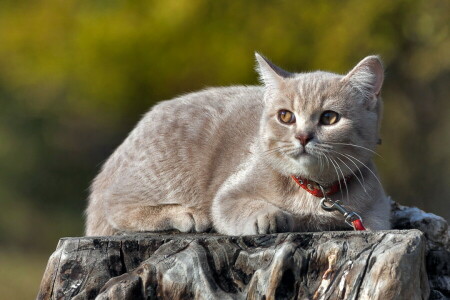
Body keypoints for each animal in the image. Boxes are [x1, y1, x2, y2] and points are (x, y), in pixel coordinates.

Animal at [84, 54, 390, 237]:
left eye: (329, 118)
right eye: (286, 116)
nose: (303, 136)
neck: (315, 192)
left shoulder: (375, 216)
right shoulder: (228, 195)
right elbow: (238, 205)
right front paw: (269, 216)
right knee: (115, 205)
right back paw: (185, 214)